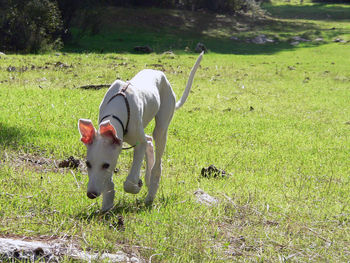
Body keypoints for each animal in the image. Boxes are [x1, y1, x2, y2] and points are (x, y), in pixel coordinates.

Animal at [76, 52, 202, 212]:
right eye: (87, 164)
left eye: (106, 165)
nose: (91, 194)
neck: (115, 111)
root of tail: (159, 73)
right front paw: (107, 204)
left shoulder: (137, 144)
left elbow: (129, 182)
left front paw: (137, 185)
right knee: (149, 140)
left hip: (162, 125)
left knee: (156, 158)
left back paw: (150, 194)